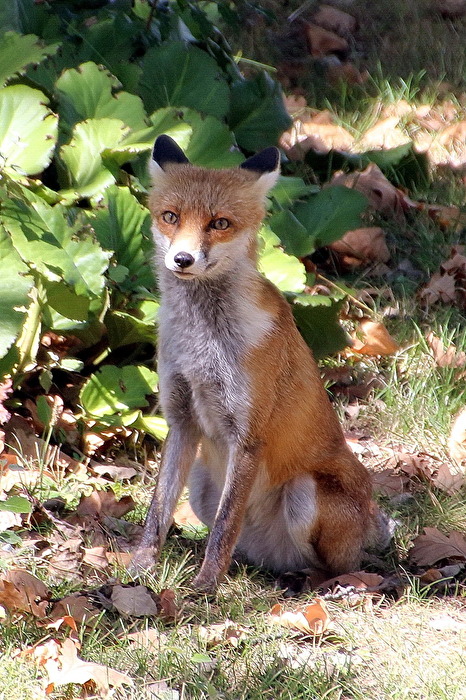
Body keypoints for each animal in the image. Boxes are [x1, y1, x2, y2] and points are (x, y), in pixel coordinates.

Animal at [130, 134, 388, 592]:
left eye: (220, 223)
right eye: (170, 217)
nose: (182, 259)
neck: (203, 343)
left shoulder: (248, 433)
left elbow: (225, 525)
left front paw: (205, 587)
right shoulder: (181, 419)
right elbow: (158, 511)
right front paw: (140, 569)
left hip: (304, 494)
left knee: (329, 565)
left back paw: (309, 583)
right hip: (201, 483)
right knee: (249, 549)